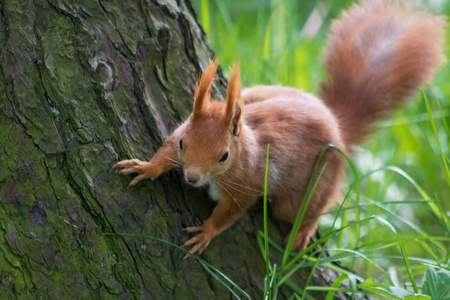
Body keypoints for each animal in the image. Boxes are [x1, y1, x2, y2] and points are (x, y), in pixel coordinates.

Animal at [114, 0, 444, 255]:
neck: (242, 146)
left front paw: (207, 232)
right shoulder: (179, 135)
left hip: (318, 179)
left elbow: (230, 213)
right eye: (185, 143)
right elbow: (165, 152)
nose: (192, 178)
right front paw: (146, 167)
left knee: (312, 206)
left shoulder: (245, 187)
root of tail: (336, 126)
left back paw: (304, 230)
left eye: (224, 156)